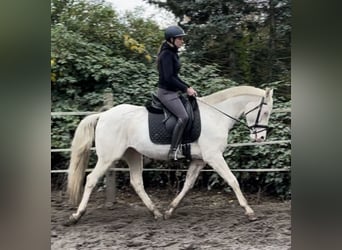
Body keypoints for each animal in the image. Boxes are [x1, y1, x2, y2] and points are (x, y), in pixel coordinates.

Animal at [65, 85, 274, 225]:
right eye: (265, 112)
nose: (261, 138)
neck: (216, 116)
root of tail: (103, 115)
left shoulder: (199, 160)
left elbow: (188, 184)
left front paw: (170, 210)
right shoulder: (214, 156)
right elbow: (233, 180)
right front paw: (249, 211)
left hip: (133, 154)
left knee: (137, 182)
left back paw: (156, 213)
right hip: (108, 157)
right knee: (91, 180)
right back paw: (76, 216)